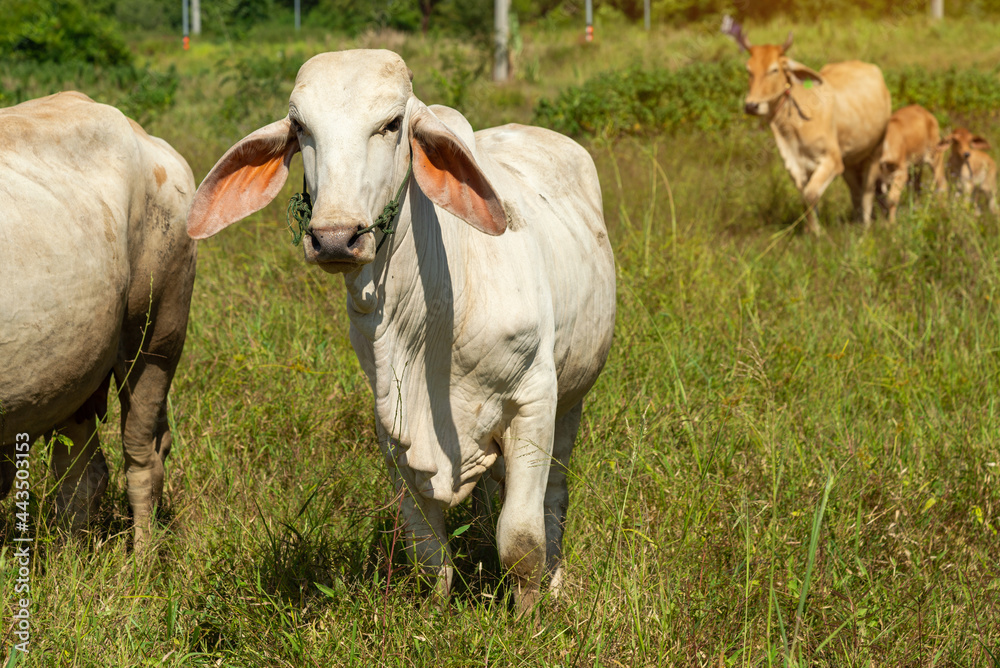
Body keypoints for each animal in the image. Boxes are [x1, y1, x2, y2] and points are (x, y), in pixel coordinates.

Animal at [0, 92, 197, 548]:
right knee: (82, 473)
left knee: (141, 460)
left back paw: (143, 560)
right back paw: (71, 555)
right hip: (74, 374)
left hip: (155, 339)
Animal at [184, 49, 612, 612]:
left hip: (572, 398)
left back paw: (557, 579)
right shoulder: (391, 421)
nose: (335, 237)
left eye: (390, 124)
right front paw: (436, 612)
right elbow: (428, 551)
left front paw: (531, 615)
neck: (433, 326)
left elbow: (521, 538)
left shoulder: (535, 400)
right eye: (300, 128)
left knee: (552, 497)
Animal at [724, 20, 896, 234]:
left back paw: (864, 225)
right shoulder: (796, 165)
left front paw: (817, 233)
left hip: (874, 152)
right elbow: (805, 197)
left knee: (867, 189)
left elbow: (811, 194)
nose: (751, 105)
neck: (792, 126)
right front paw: (812, 231)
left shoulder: (831, 160)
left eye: (774, 69)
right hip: (850, 159)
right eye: (749, 70)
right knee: (855, 190)